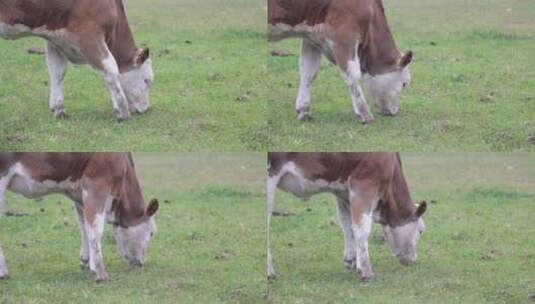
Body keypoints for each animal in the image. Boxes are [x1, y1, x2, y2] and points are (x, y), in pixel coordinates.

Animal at [0, 0, 155, 121]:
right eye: (147, 80)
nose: (146, 109)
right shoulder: (90, 34)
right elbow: (110, 69)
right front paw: (122, 112)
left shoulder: (55, 39)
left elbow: (57, 72)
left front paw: (59, 110)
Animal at [0, 153, 159, 282]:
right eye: (152, 233)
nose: (142, 262)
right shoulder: (97, 183)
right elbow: (95, 231)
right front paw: (100, 272)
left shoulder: (79, 194)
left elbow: (84, 227)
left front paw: (86, 262)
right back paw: (3, 273)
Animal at [266, 153, 428, 282]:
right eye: (421, 231)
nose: (414, 260)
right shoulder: (364, 183)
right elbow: (362, 229)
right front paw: (365, 271)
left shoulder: (342, 191)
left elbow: (347, 225)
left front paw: (351, 260)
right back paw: (270, 272)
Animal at [268, 0, 414, 123]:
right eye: (404, 84)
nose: (395, 111)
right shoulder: (344, 35)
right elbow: (352, 75)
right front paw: (365, 114)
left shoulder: (311, 37)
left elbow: (308, 72)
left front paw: (303, 111)